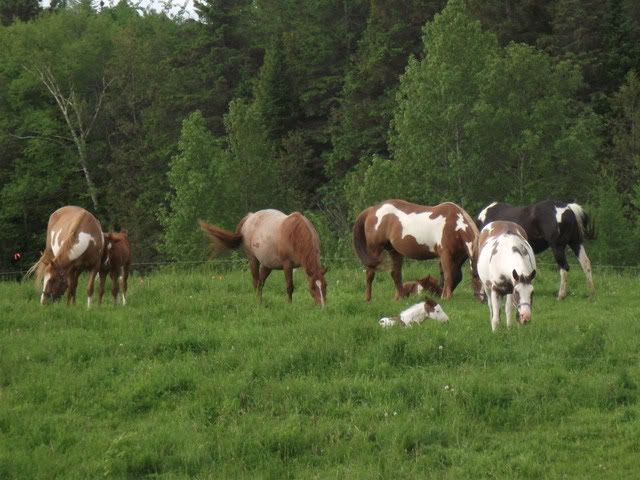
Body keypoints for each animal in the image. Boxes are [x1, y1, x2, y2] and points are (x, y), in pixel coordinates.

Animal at [199, 208, 330, 306]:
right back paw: (258, 304)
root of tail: (250, 217)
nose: (322, 307)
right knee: (256, 282)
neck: (295, 234)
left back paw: (260, 302)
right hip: (253, 260)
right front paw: (289, 305)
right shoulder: (287, 265)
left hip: (267, 265)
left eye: (325, 285)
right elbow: (289, 286)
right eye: (313, 287)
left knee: (260, 284)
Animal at [352, 201, 482, 302]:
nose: (482, 298)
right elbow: (448, 275)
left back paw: (400, 298)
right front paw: (446, 297)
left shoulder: (457, 257)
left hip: (394, 251)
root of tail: (372, 210)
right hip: (374, 249)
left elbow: (454, 275)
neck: (454, 224)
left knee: (396, 274)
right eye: (475, 275)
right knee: (370, 273)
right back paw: (368, 299)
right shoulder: (445, 254)